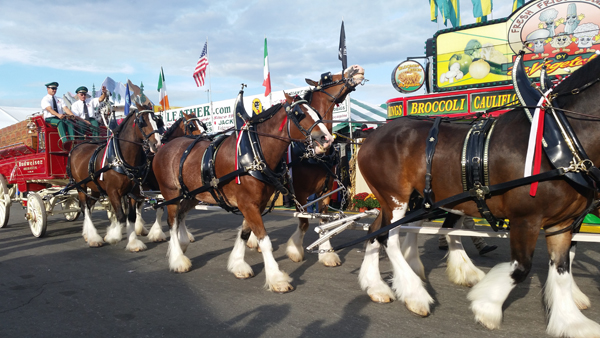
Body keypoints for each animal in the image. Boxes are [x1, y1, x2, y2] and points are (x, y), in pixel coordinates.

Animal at [68, 103, 164, 251]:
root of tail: (77, 146)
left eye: (157, 121)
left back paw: (87, 234)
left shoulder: (133, 192)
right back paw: (93, 238)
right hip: (80, 186)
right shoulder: (113, 192)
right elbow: (121, 216)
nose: (157, 145)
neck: (120, 159)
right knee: (84, 207)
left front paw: (133, 242)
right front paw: (112, 236)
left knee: (88, 207)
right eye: (142, 121)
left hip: (95, 188)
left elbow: (131, 217)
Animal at [152, 89, 336, 290]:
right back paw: (177, 259)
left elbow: (245, 232)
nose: (327, 139)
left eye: (317, 113)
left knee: (181, 216)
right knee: (172, 222)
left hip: (192, 195)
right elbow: (265, 240)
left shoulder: (257, 204)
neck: (254, 154)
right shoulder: (249, 204)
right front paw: (276, 277)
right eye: (299, 114)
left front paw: (238, 264)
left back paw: (183, 244)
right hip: (171, 193)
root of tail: (163, 148)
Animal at [244, 65, 366, 266]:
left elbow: (324, 222)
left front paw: (327, 253)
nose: (356, 68)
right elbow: (304, 222)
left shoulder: (326, 191)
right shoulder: (300, 193)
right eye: (327, 78)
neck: (315, 155)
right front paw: (295, 250)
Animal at [354, 55, 600, 336]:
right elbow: (521, 268)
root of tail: (372, 135)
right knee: (390, 239)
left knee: (375, 232)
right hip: (396, 198)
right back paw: (415, 294)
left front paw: (572, 322)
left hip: (398, 200)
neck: (558, 136)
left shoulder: (562, 223)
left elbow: (561, 270)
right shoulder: (525, 218)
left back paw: (376, 287)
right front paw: (487, 306)